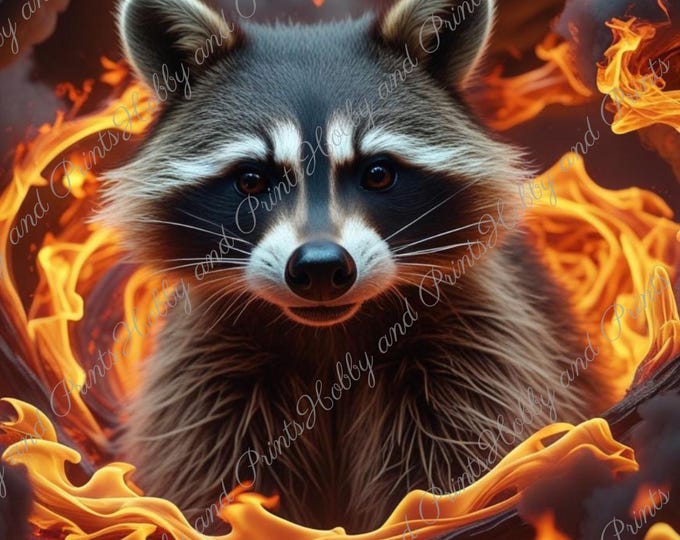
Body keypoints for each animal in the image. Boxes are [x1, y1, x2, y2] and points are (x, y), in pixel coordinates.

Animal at [101, 0, 594, 532]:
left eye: (377, 173)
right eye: (252, 180)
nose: (320, 267)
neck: (330, 337)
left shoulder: (479, 349)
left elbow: (461, 469)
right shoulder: (204, 375)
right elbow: (206, 477)